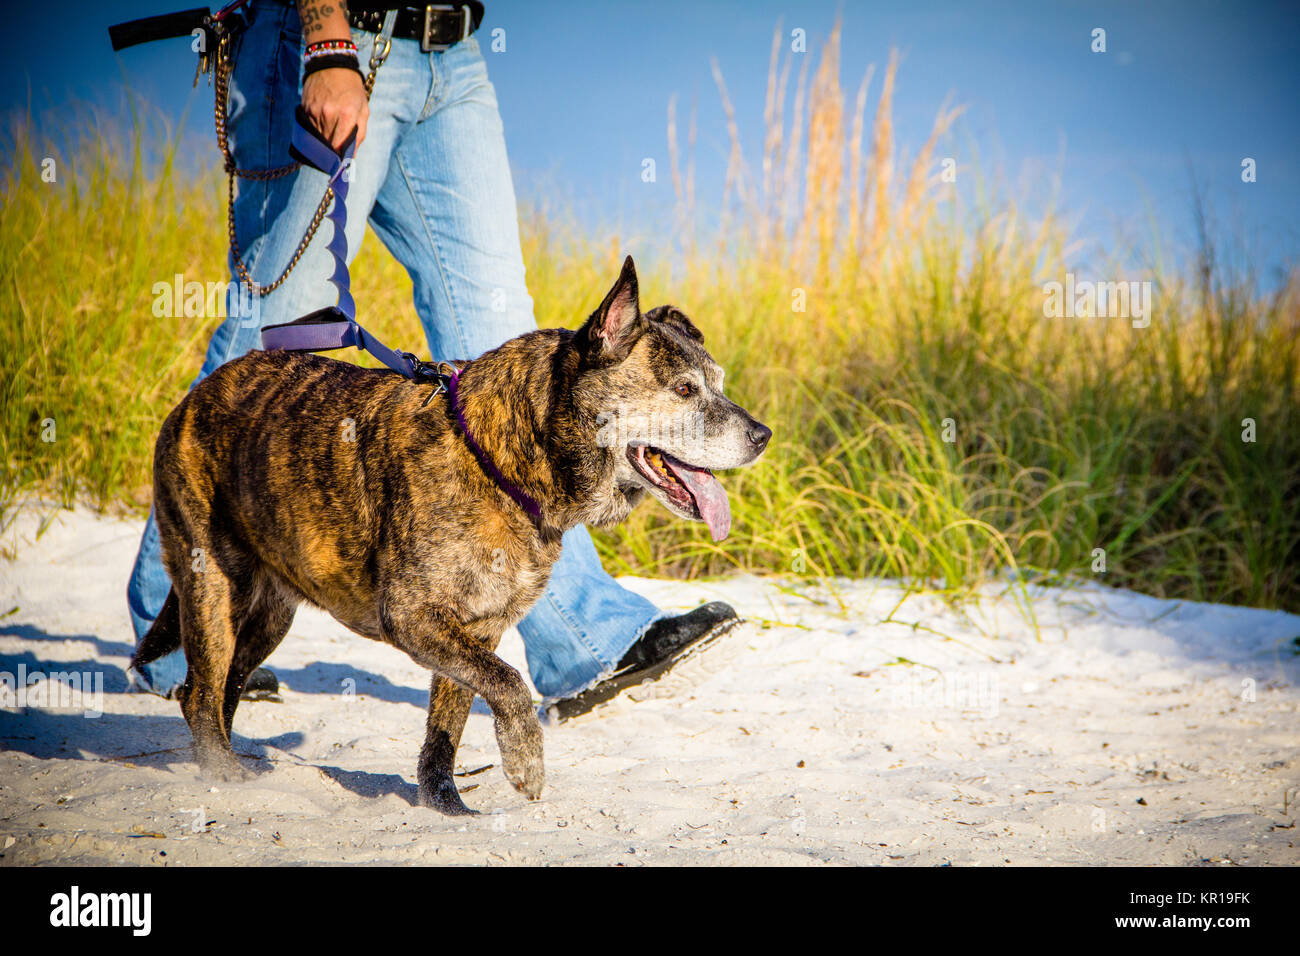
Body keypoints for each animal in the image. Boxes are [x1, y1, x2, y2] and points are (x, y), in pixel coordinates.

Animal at [137, 260, 769, 816]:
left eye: (717, 384)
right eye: (684, 390)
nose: (763, 435)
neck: (501, 460)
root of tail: (195, 395)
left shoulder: (477, 629)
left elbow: (449, 723)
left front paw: (445, 805)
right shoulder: (413, 615)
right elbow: (509, 683)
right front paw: (525, 761)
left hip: (272, 610)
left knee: (226, 686)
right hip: (213, 586)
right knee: (200, 691)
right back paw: (222, 773)